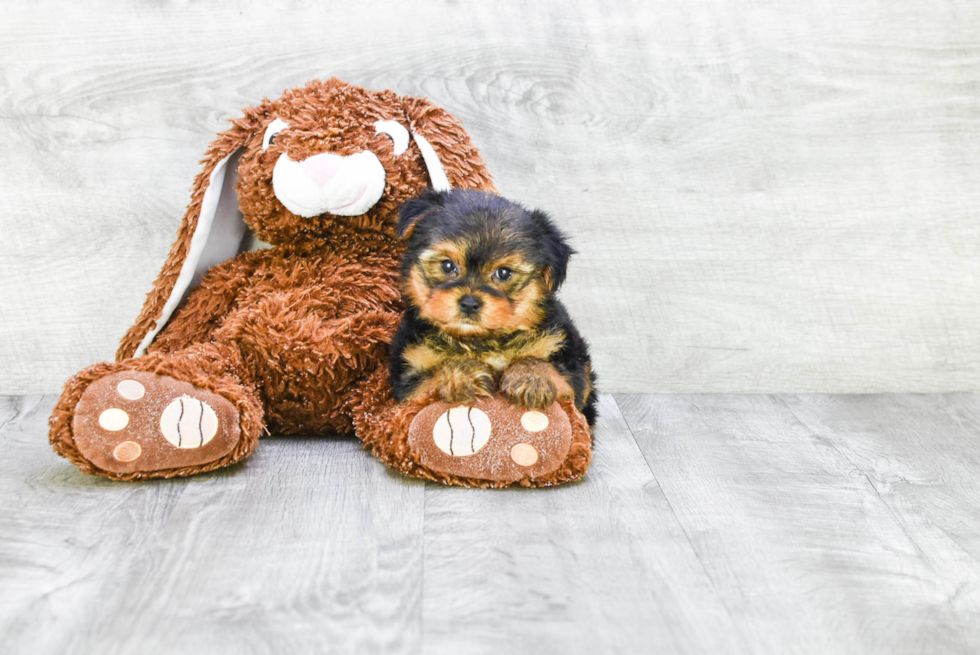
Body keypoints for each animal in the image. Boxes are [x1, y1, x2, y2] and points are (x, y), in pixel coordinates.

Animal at [390, 188, 596, 430]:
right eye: (447, 265)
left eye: (504, 273)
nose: (469, 303)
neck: (482, 341)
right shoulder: (408, 382)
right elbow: (426, 382)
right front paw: (463, 373)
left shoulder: (574, 369)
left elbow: (562, 377)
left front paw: (532, 375)